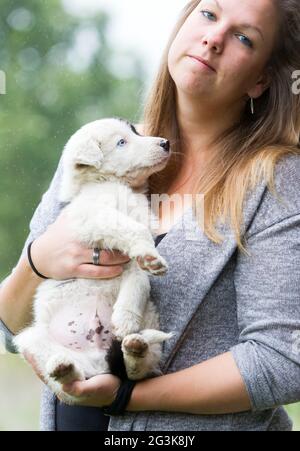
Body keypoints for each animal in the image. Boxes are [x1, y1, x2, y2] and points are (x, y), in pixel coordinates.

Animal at [14, 118, 173, 404]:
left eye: (136, 132)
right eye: (121, 142)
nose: (165, 143)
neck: (116, 185)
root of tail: (97, 361)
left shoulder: (131, 254)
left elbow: (139, 279)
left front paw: (125, 316)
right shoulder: (94, 217)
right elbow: (132, 229)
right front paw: (151, 258)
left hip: (151, 332)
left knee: (138, 370)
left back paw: (134, 348)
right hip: (32, 339)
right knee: (70, 386)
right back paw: (63, 368)